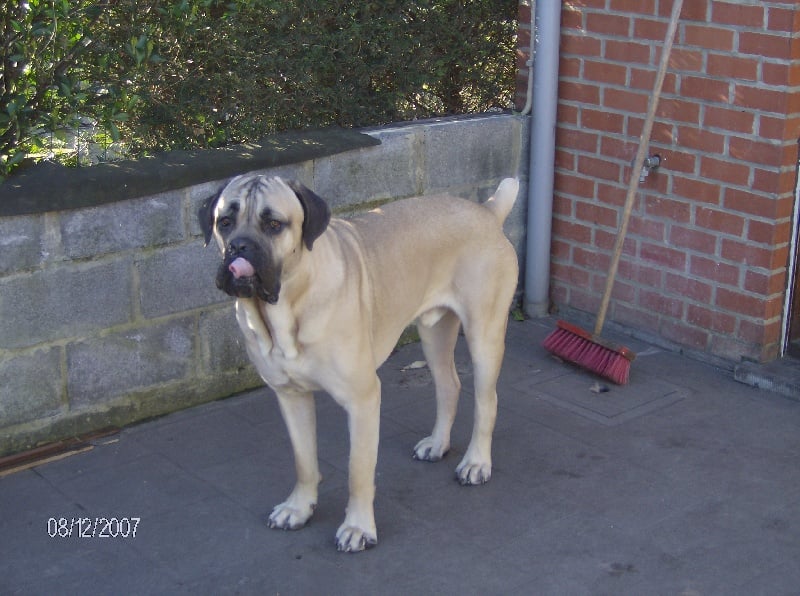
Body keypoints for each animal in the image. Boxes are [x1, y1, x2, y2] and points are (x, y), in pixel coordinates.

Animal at [197, 175, 516, 552]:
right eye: (224, 222)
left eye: (274, 224)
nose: (239, 247)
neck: (286, 309)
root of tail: (488, 212)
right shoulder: (291, 396)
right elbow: (304, 460)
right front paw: (298, 508)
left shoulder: (362, 399)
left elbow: (358, 470)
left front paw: (358, 527)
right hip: (434, 331)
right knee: (448, 386)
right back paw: (438, 444)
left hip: (484, 333)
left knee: (486, 400)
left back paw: (477, 462)